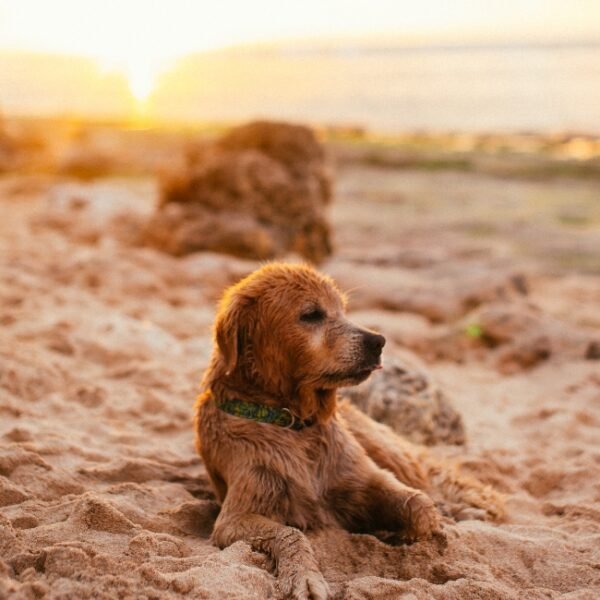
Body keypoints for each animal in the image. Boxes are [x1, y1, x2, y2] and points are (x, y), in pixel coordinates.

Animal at [195, 264, 504, 600]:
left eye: (342, 309)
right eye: (311, 314)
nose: (378, 341)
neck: (292, 421)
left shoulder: (362, 476)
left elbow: (419, 505)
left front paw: (408, 530)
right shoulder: (235, 516)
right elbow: (291, 533)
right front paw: (304, 577)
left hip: (386, 448)